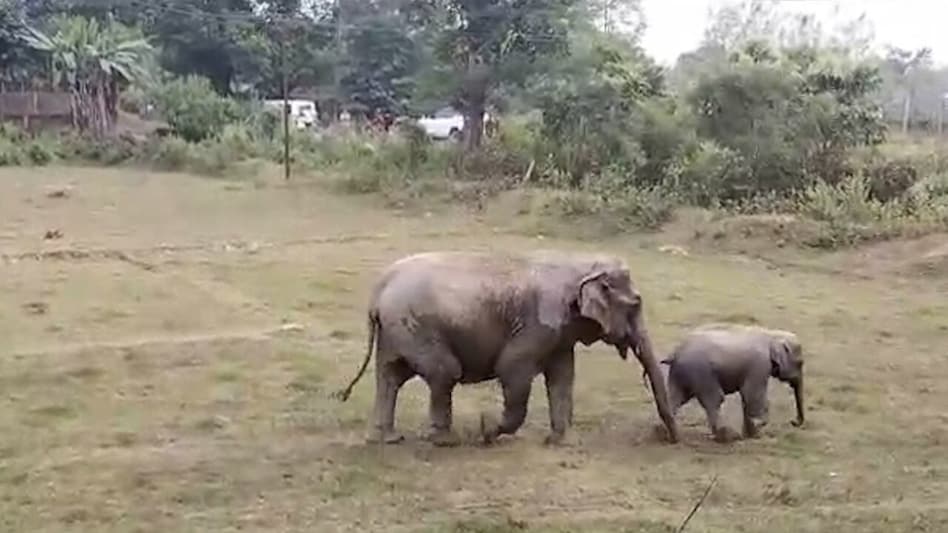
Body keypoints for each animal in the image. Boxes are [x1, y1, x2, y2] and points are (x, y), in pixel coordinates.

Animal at [333, 250, 681, 447]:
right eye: (635, 305)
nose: (669, 439)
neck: (578, 263)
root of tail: (378, 288)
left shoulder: (558, 335)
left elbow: (562, 378)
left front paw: (564, 443)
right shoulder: (536, 326)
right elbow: (513, 369)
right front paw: (488, 431)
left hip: (395, 330)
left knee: (390, 377)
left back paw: (387, 439)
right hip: (414, 326)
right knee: (444, 373)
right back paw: (445, 441)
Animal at [653, 323, 805, 443]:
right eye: (800, 363)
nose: (793, 422)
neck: (771, 334)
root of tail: (675, 353)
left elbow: (746, 397)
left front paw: (750, 435)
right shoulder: (760, 365)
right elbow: (751, 395)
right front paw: (757, 429)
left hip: (680, 374)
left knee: (675, 397)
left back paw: (661, 432)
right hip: (700, 372)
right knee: (714, 399)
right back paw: (728, 436)